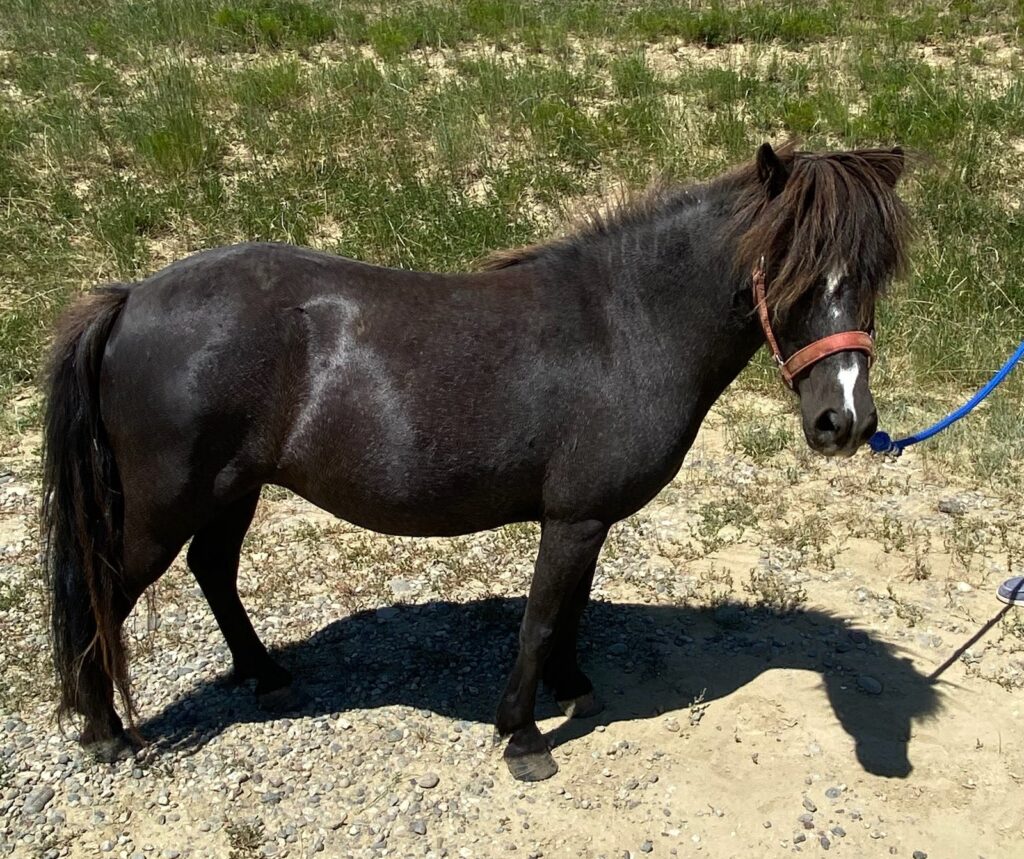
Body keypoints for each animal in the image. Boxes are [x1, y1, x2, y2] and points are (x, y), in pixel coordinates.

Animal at [41, 142, 909, 781]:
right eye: (790, 269)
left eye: (872, 275)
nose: (844, 421)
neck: (626, 325)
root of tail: (132, 297)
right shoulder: (573, 518)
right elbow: (540, 618)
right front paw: (523, 736)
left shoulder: (585, 518)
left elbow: (571, 611)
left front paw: (574, 687)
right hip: (165, 504)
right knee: (101, 592)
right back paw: (105, 728)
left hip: (233, 489)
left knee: (214, 570)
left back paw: (264, 674)